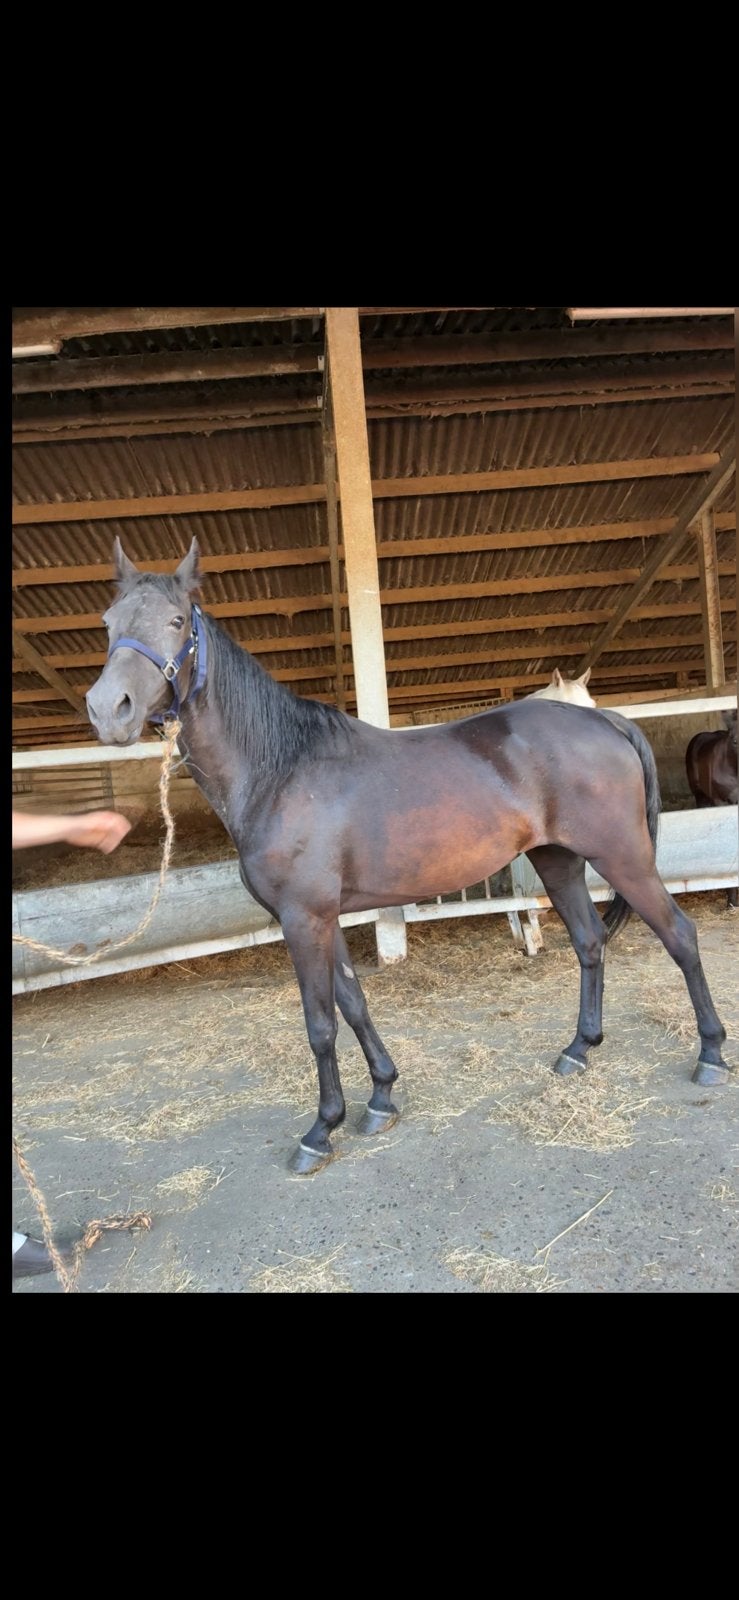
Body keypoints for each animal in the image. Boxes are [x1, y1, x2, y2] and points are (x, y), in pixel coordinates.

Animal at [85, 539, 732, 1175]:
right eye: (109, 623)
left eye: (176, 621)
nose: (108, 709)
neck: (282, 770)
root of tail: (606, 720)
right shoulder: (324, 918)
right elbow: (353, 1003)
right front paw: (381, 1097)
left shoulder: (302, 918)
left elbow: (320, 1024)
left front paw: (320, 1131)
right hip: (558, 860)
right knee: (590, 942)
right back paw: (578, 1050)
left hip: (622, 856)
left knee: (679, 935)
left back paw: (710, 1054)